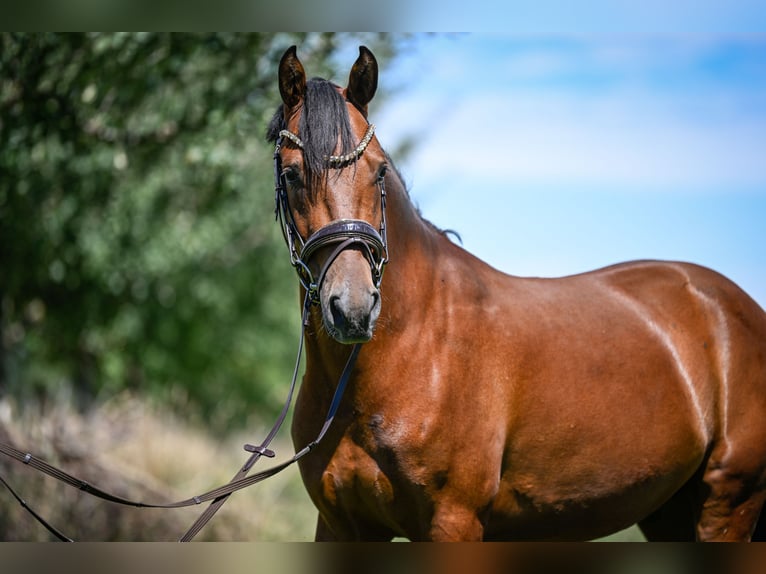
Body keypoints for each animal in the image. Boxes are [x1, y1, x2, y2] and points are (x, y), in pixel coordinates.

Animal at [268, 46, 766, 544]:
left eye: (379, 171)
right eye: (291, 175)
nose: (353, 308)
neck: (411, 350)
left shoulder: (455, 521)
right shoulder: (341, 524)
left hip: (728, 501)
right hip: (670, 511)